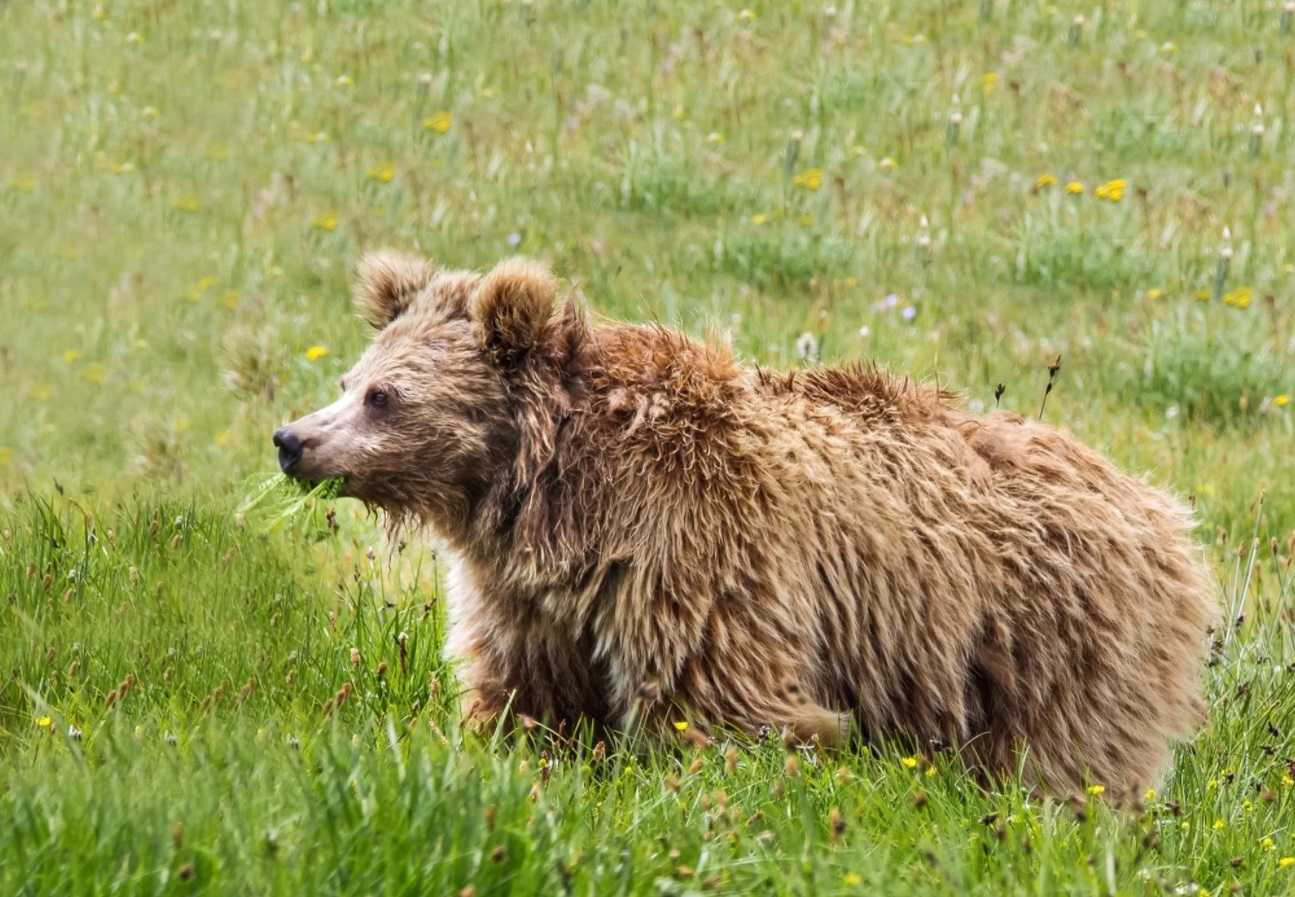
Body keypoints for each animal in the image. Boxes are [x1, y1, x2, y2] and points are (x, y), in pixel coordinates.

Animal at [273, 249, 1212, 792]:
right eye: (349, 377)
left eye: (384, 394)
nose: (292, 440)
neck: (553, 495)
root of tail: (1157, 504)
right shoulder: (526, 595)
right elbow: (526, 694)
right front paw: (506, 750)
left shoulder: (692, 550)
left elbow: (721, 701)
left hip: (1053, 632)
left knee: (1068, 755)